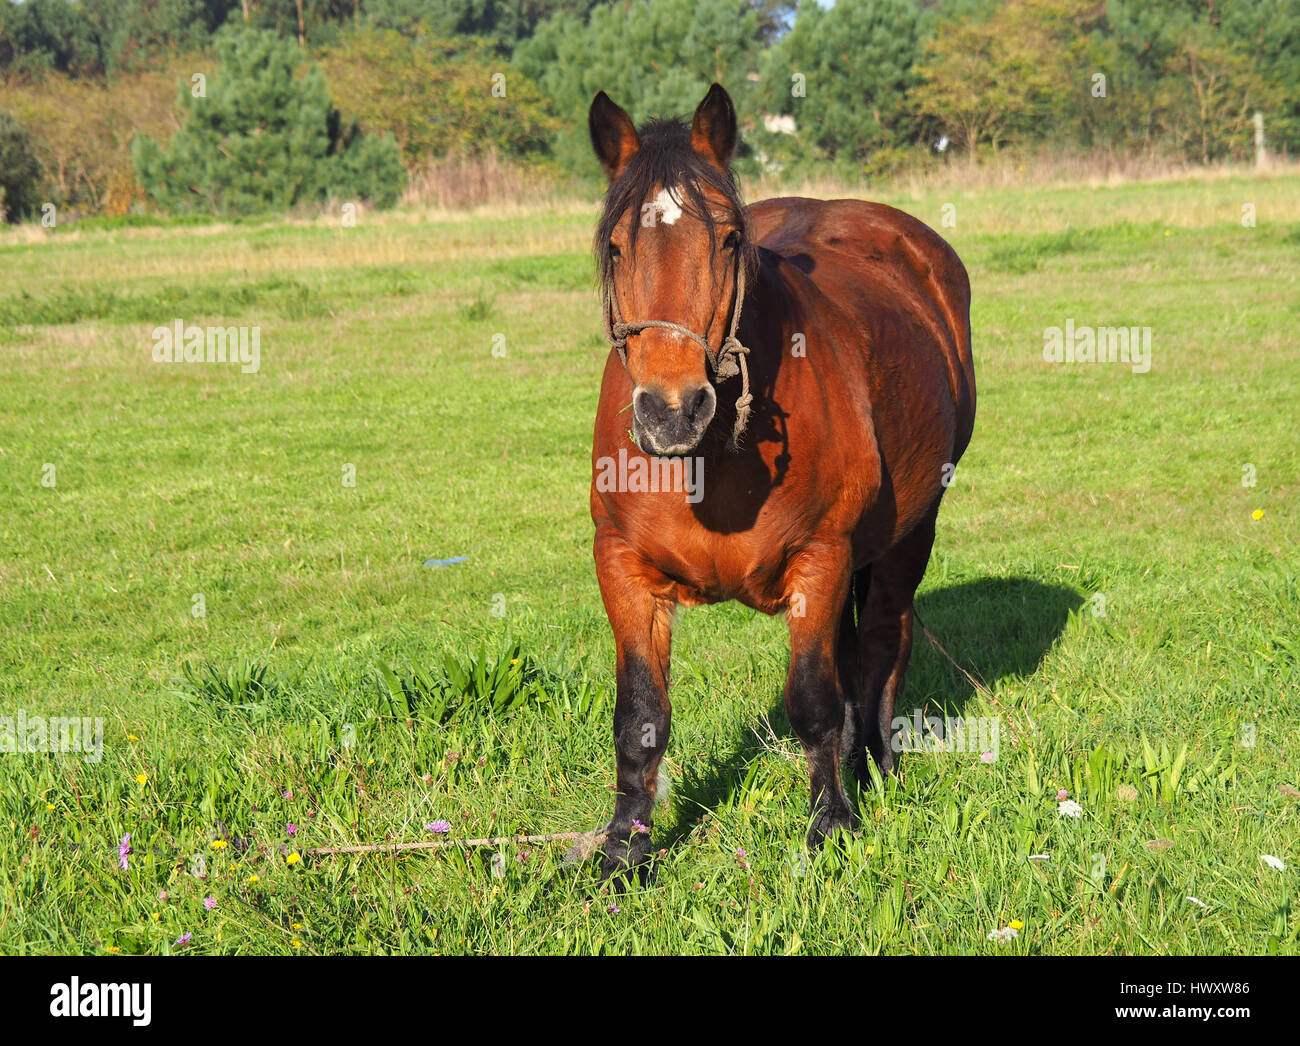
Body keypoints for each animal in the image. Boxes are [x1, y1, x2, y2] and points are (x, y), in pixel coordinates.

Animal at [587, 84, 976, 882]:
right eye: (614, 246)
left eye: (731, 240)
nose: (672, 410)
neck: (708, 461)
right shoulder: (622, 565)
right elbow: (639, 716)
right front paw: (625, 851)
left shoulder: (820, 557)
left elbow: (813, 700)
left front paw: (832, 824)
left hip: (910, 533)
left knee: (881, 642)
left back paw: (875, 765)